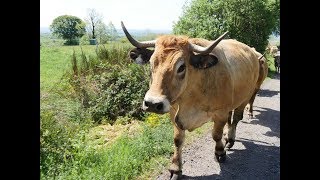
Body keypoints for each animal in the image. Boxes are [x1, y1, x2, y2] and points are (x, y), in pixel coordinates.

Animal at [121, 21, 268, 179]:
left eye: (181, 67)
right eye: (151, 63)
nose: (153, 104)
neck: (190, 98)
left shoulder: (220, 113)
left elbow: (216, 135)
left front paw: (220, 152)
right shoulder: (174, 114)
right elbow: (178, 140)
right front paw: (175, 168)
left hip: (245, 97)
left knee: (235, 119)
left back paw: (230, 139)